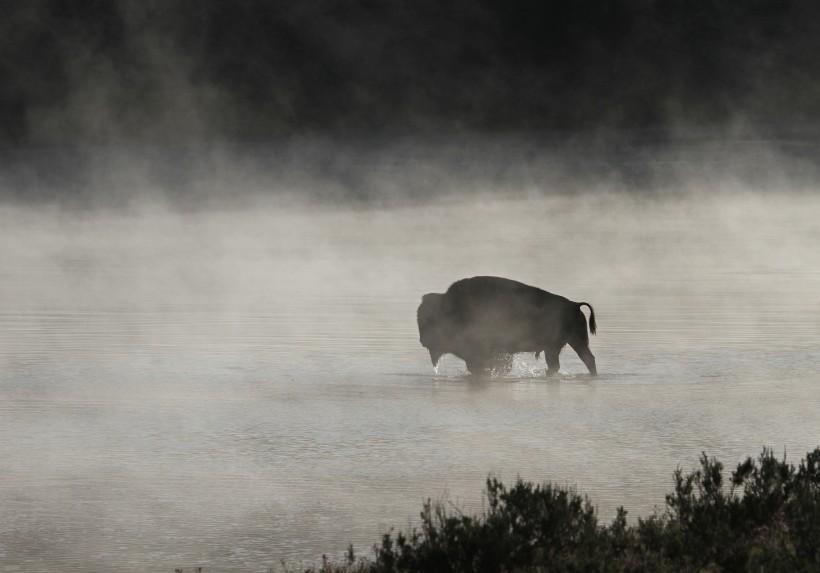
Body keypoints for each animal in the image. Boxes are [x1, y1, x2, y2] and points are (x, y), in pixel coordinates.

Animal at [416, 276, 596, 376]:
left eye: (430, 320)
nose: (423, 341)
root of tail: (574, 305)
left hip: (560, 346)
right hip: (569, 344)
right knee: (584, 360)